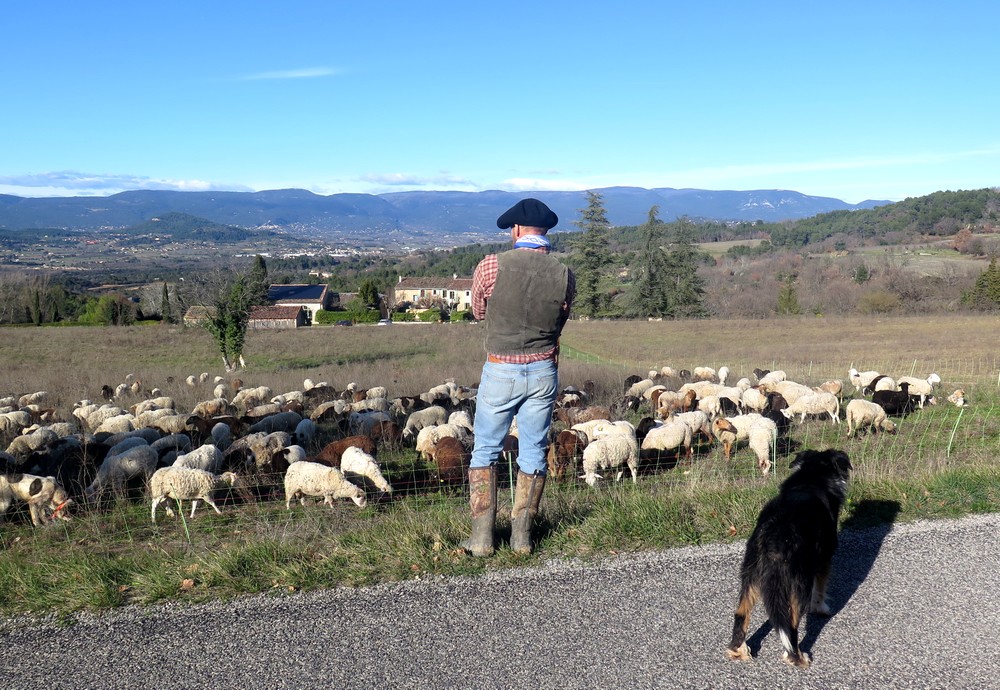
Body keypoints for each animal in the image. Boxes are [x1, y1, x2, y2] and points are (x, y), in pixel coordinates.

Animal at [728, 446, 852, 668]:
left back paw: (737, 651)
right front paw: (821, 609)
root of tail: (771, 534)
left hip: (750, 573)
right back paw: (797, 657)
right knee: (791, 624)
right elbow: (820, 589)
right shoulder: (824, 557)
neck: (811, 477)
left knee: (741, 613)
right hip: (798, 581)